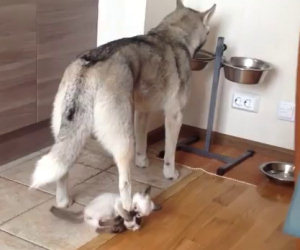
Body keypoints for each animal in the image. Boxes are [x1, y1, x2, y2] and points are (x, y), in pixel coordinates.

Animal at [30, 0, 216, 211]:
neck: (173, 33)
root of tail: (89, 66)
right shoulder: (174, 116)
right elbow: (170, 152)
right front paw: (170, 174)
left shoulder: (142, 112)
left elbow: (143, 142)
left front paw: (142, 162)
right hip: (123, 138)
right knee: (124, 182)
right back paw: (129, 208)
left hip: (68, 134)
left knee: (62, 169)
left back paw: (63, 201)